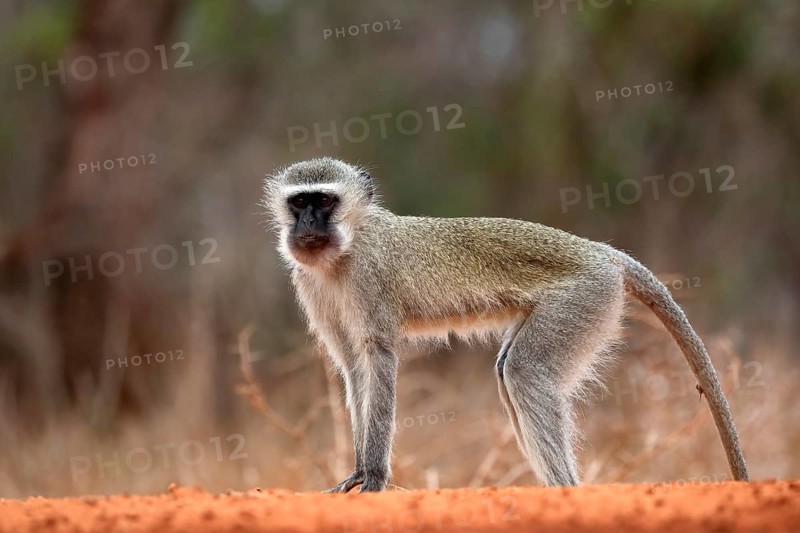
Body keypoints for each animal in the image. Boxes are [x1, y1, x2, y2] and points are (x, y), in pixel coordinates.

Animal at [262, 157, 749, 492]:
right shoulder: (309, 284)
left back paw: (565, 493)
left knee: (524, 372)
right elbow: (352, 367)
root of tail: (600, 252)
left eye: (324, 201)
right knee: (507, 369)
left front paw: (376, 478)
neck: (345, 250)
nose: (307, 222)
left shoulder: (371, 276)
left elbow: (377, 358)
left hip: (584, 298)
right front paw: (359, 470)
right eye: (299, 202)